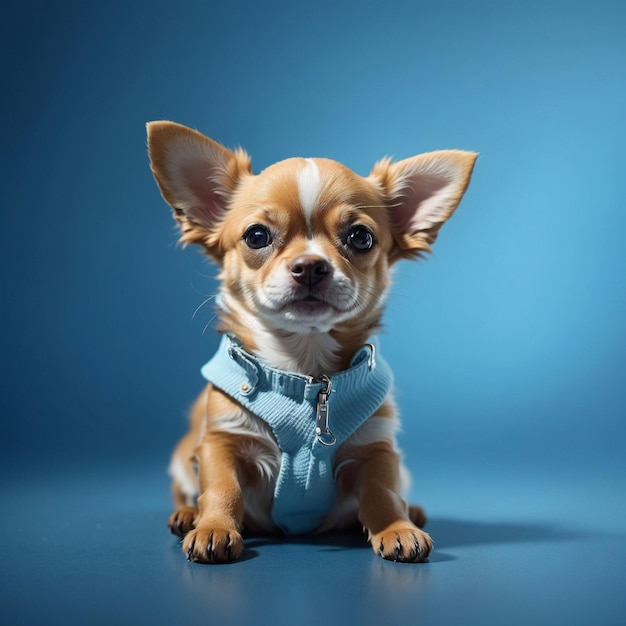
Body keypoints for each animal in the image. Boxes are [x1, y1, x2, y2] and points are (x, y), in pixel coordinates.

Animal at [146, 120, 476, 560]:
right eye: (256, 236)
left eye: (360, 238)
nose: (310, 266)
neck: (305, 368)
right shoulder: (221, 441)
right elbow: (221, 488)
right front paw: (213, 528)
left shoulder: (377, 448)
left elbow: (383, 493)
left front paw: (397, 529)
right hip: (183, 455)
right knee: (186, 490)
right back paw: (187, 516)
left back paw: (415, 512)